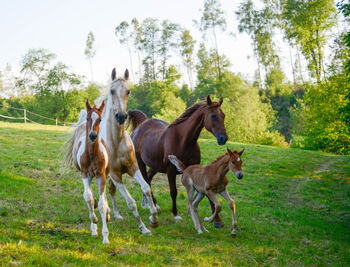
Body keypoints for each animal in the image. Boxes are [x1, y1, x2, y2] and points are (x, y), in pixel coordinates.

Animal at [65, 100, 110, 245]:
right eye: (87, 118)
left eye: (100, 119)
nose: (92, 135)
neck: (91, 154)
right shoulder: (85, 174)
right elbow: (88, 197)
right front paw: (94, 222)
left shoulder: (101, 175)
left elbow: (102, 204)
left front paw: (105, 237)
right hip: (89, 176)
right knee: (90, 196)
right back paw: (94, 228)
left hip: (104, 174)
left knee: (104, 197)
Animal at [97, 68, 160, 234]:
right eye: (112, 91)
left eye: (128, 91)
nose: (121, 116)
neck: (116, 142)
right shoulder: (116, 175)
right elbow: (131, 202)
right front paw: (143, 227)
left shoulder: (133, 168)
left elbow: (146, 188)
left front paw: (153, 220)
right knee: (104, 192)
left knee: (110, 191)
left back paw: (115, 214)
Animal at [124, 95, 228, 223]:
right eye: (213, 115)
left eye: (223, 115)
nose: (223, 138)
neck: (184, 141)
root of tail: (142, 123)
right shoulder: (171, 170)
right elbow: (173, 191)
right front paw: (175, 214)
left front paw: (216, 218)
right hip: (141, 162)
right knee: (146, 181)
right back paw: (154, 206)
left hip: (155, 166)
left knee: (148, 178)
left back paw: (149, 204)